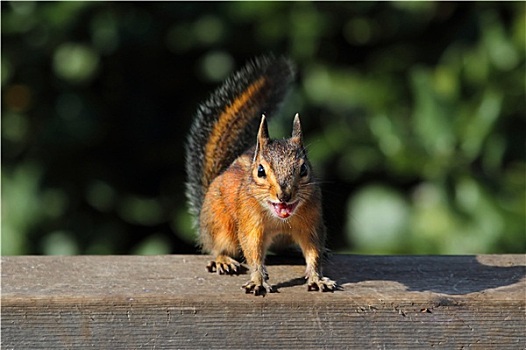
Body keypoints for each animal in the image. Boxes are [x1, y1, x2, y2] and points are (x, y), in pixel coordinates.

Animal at [186, 54, 340, 296]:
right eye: (260, 170)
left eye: (304, 169)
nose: (284, 195)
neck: (280, 220)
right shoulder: (250, 222)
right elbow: (253, 251)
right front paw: (258, 279)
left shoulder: (311, 222)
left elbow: (313, 251)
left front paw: (317, 277)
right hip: (220, 226)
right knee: (218, 246)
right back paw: (223, 260)